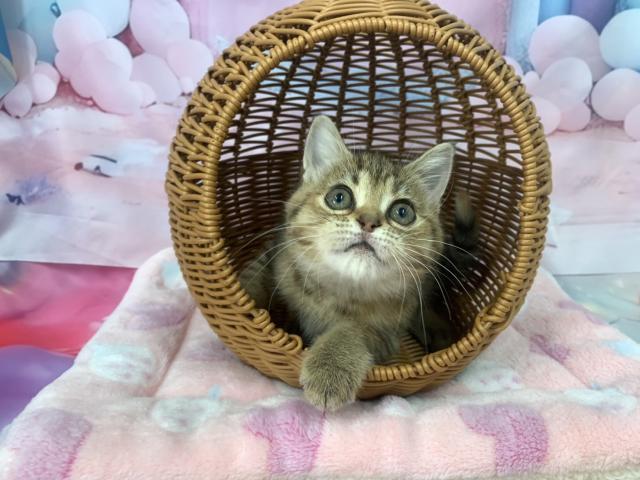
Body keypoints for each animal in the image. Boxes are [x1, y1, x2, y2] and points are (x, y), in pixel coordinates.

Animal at [240, 115, 478, 411]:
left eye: (402, 212)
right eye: (339, 197)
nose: (368, 222)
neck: (341, 287)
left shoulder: (385, 334)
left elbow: (352, 329)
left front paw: (330, 366)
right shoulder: (275, 252)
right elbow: (253, 279)